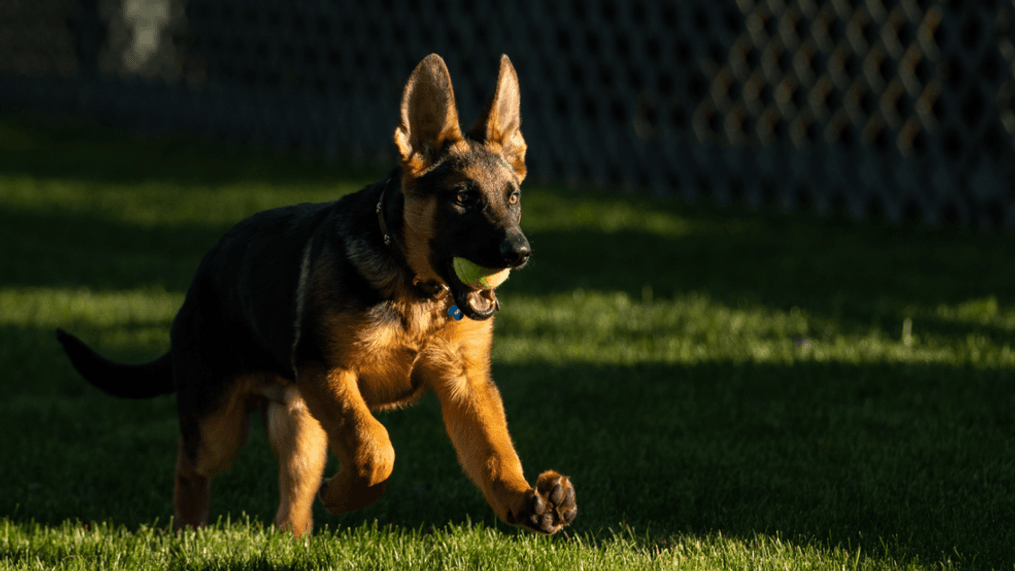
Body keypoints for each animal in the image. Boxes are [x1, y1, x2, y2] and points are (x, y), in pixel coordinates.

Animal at [55, 53, 576, 535]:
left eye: (513, 197)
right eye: (463, 198)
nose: (520, 253)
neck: (413, 287)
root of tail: (201, 277)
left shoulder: (465, 385)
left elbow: (494, 451)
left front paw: (524, 500)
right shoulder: (328, 370)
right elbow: (375, 445)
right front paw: (345, 496)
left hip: (302, 426)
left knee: (293, 493)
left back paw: (294, 538)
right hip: (220, 425)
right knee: (191, 463)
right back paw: (189, 528)